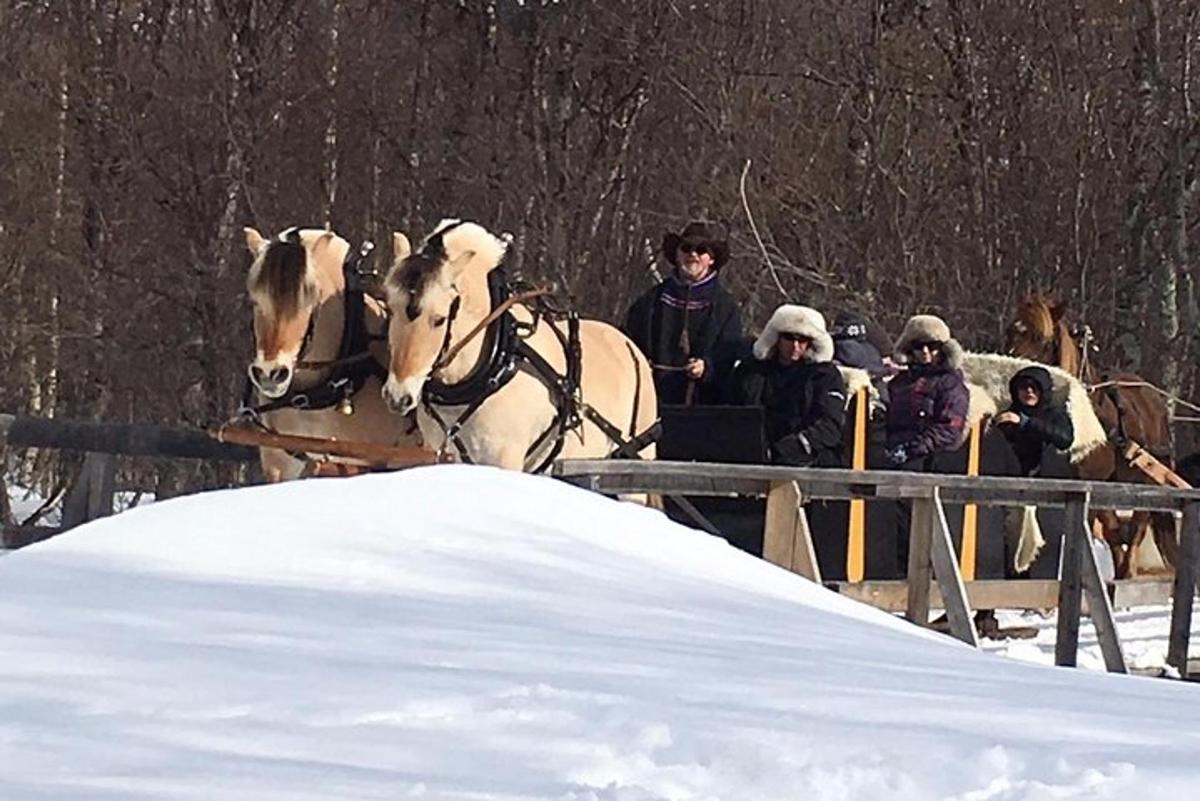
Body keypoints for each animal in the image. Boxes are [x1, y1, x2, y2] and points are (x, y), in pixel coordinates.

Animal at [1003, 293, 1180, 575]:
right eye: (1011, 331)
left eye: (1041, 338)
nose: (1018, 380)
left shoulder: (1090, 479)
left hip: (1145, 479)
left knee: (1138, 527)